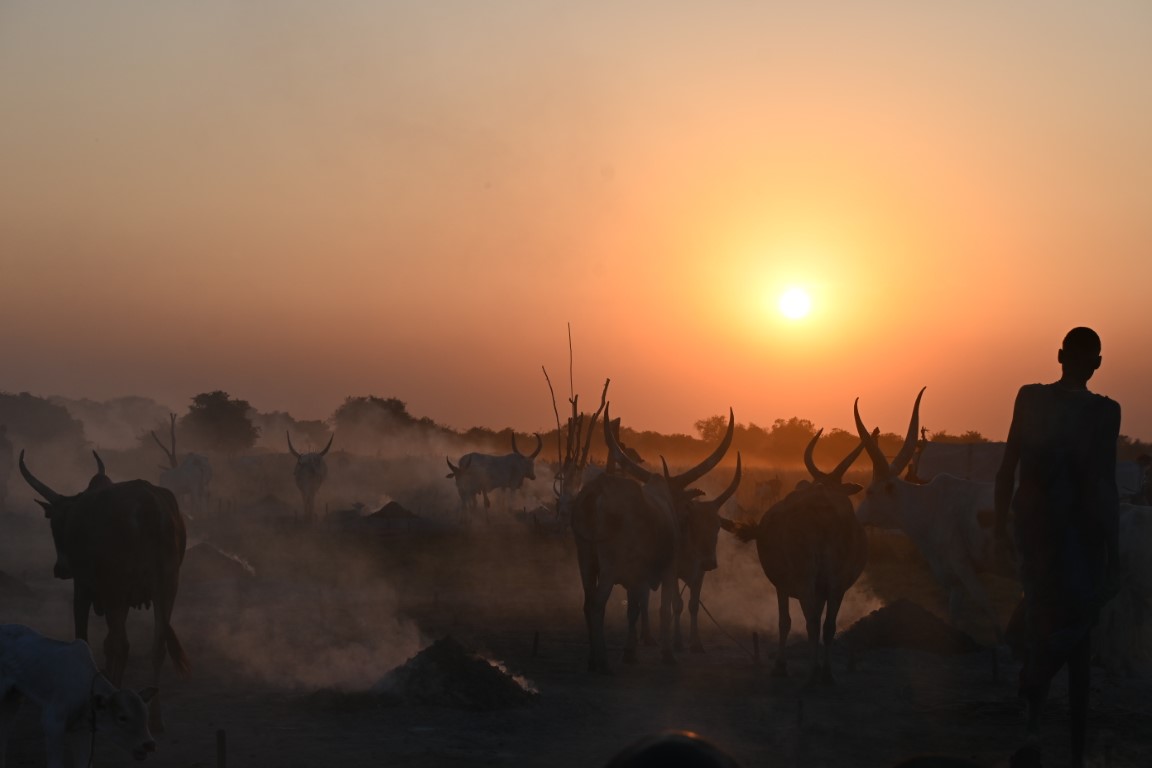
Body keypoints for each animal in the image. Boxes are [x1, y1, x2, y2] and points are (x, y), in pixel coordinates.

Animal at [0, 626, 157, 768]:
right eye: (122, 717)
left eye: (146, 715)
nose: (149, 744)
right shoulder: (52, 724)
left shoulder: (81, 729)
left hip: (13, 699)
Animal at [17, 451, 186, 732]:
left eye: (57, 524)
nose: (60, 569)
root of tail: (148, 505)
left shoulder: (85, 588)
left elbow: (85, 637)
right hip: (166, 587)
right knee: (156, 646)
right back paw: (155, 719)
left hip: (116, 588)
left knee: (119, 643)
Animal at [571, 407, 732, 672]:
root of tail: (596, 493)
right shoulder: (666, 570)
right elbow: (663, 608)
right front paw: (666, 654)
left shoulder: (637, 575)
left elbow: (635, 609)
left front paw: (631, 652)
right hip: (609, 564)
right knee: (597, 604)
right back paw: (601, 661)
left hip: (584, 558)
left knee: (587, 603)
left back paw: (593, 657)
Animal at [714, 430, 866, 681]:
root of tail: (822, 508)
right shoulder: (824, 588)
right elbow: (820, 621)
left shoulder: (782, 585)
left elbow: (784, 621)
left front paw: (781, 664)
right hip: (836, 582)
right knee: (827, 625)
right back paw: (825, 673)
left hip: (804, 579)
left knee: (811, 622)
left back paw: (813, 673)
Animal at [852, 386, 1004, 640]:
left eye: (871, 491)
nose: (858, 517)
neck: (931, 504)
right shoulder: (955, 581)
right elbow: (955, 614)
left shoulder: (963, 566)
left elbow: (988, 607)